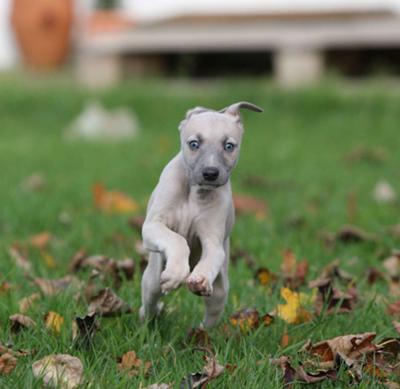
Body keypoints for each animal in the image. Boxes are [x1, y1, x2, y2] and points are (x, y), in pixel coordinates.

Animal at [140, 101, 262, 328]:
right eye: (194, 144)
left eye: (229, 146)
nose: (210, 173)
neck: (195, 193)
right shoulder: (153, 226)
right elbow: (178, 239)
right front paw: (176, 272)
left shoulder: (213, 240)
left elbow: (212, 255)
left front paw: (200, 278)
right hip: (152, 280)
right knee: (150, 302)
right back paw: (148, 319)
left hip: (220, 292)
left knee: (211, 316)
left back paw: (199, 332)